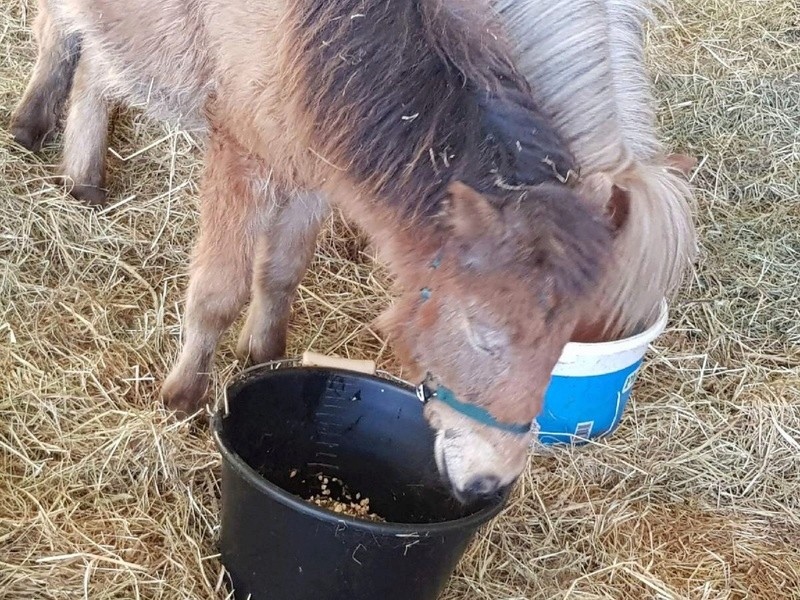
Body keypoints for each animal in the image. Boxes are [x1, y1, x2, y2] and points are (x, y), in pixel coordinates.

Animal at [9, 0, 612, 502]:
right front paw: (183, 397)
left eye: (564, 342)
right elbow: (218, 294)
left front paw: (264, 354)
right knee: (57, 33)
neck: (315, 37)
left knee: (95, 63)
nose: (491, 482)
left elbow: (281, 272)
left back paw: (83, 180)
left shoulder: (312, 172)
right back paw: (29, 124)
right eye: (482, 334)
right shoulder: (241, 160)